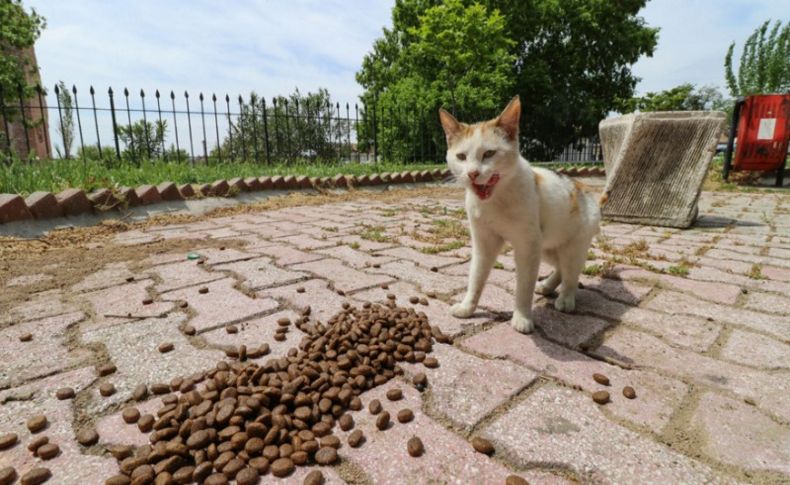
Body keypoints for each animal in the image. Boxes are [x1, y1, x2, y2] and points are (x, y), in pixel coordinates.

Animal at [442, 96, 604, 334]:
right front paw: (467, 307)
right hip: (547, 247)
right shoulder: (484, 243)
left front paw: (522, 317)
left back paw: (566, 298)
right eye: (461, 157)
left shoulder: (527, 246)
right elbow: (476, 277)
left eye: (489, 154)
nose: (472, 173)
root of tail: (586, 190)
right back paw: (547, 286)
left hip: (570, 247)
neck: (495, 200)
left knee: (572, 272)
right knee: (561, 268)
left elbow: (524, 286)